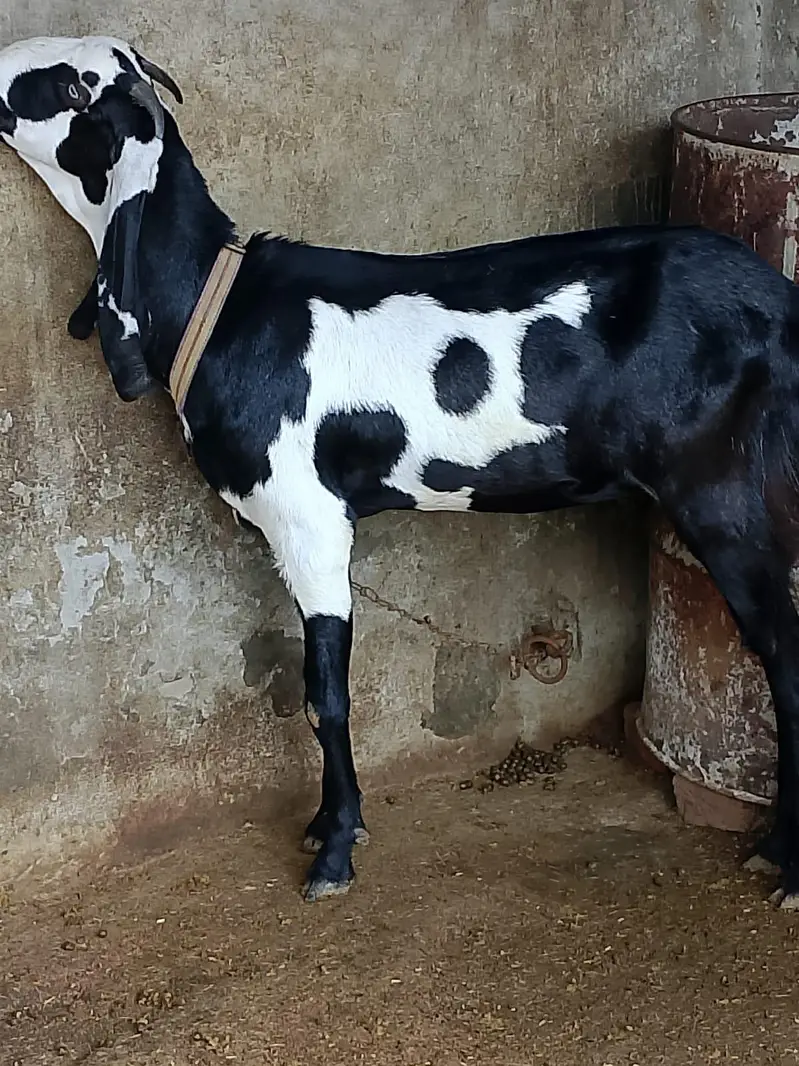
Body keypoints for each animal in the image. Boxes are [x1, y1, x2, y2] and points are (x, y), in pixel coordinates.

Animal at [2, 34, 799, 907]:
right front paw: (327, 825)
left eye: (71, 86)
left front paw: (334, 850)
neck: (225, 307)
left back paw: (784, 859)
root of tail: (781, 303)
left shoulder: (310, 520)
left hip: (725, 492)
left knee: (784, 653)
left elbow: (325, 695)